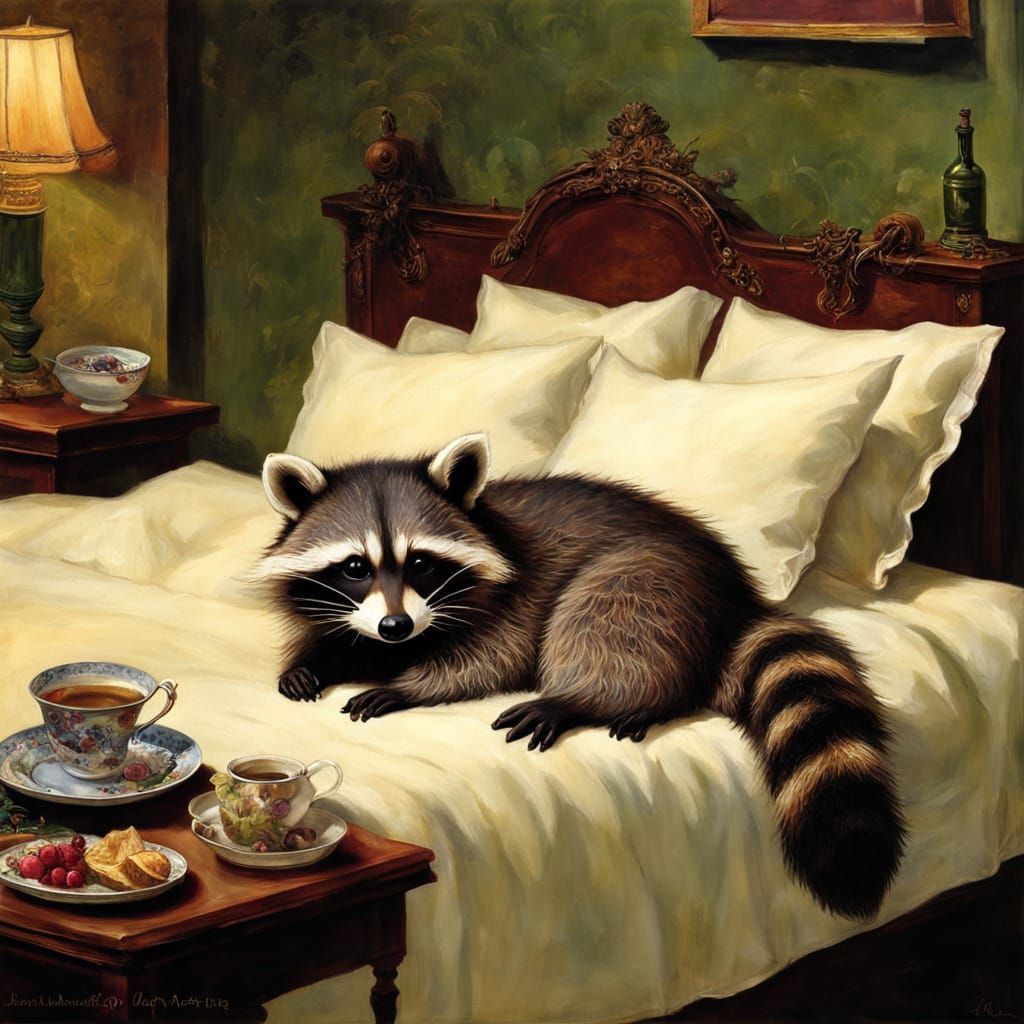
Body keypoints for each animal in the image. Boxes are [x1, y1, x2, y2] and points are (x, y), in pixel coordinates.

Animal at [257, 433, 905, 920]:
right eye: (355, 566)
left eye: (420, 562)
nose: (395, 625)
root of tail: (738, 601)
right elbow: (342, 638)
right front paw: (314, 662)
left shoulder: (519, 594)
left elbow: (487, 662)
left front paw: (404, 686)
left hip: (653, 579)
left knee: (605, 628)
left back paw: (595, 700)